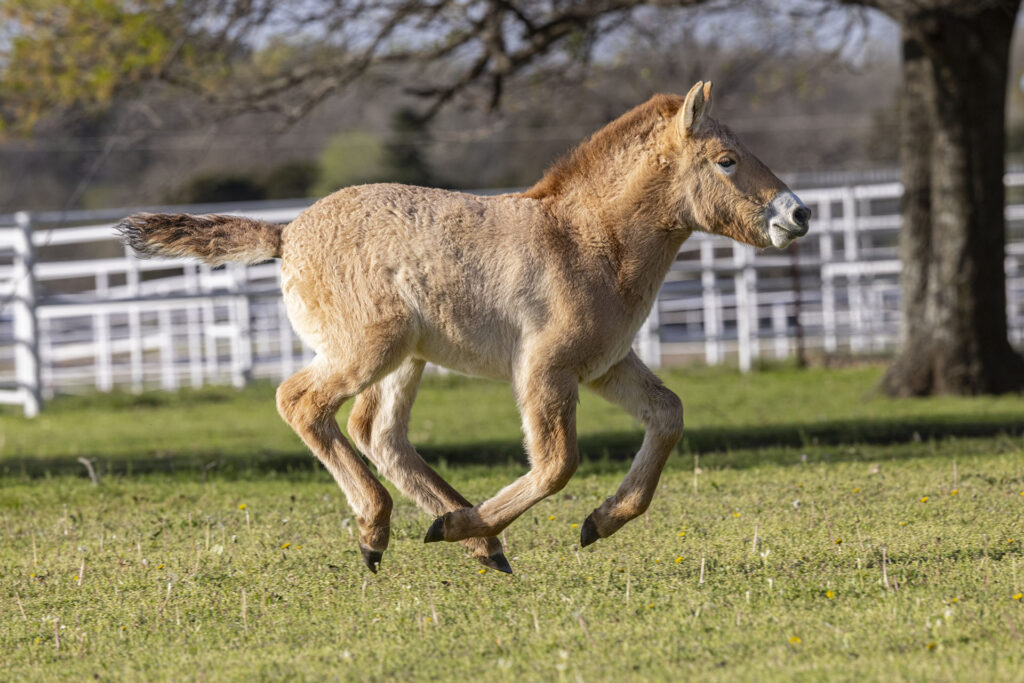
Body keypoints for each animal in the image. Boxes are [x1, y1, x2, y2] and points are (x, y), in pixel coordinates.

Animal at [117, 81, 806, 577]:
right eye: (727, 161)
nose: (797, 215)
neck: (588, 240)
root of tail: (285, 235)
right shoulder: (544, 370)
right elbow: (556, 463)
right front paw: (479, 526)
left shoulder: (606, 365)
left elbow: (668, 416)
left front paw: (600, 522)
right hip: (372, 347)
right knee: (302, 402)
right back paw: (389, 528)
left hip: (408, 359)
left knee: (378, 432)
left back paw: (473, 540)